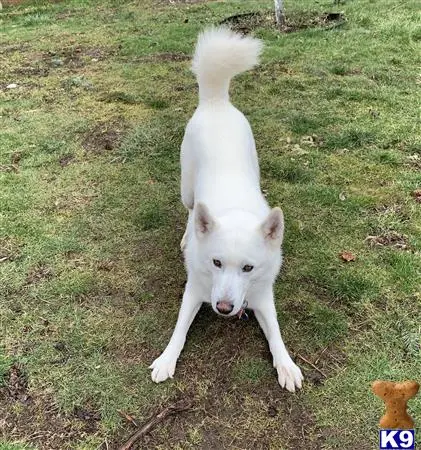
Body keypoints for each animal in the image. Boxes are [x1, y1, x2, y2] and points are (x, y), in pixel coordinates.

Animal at [148, 27, 302, 390]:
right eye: (216, 262)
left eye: (247, 268)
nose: (223, 308)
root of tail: (216, 102)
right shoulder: (194, 290)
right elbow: (179, 329)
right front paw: (166, 359)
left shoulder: (262, 296)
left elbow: (276, 333)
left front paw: (286, 364)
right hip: (187, 191)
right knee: (191, 212)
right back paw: (187, 236)